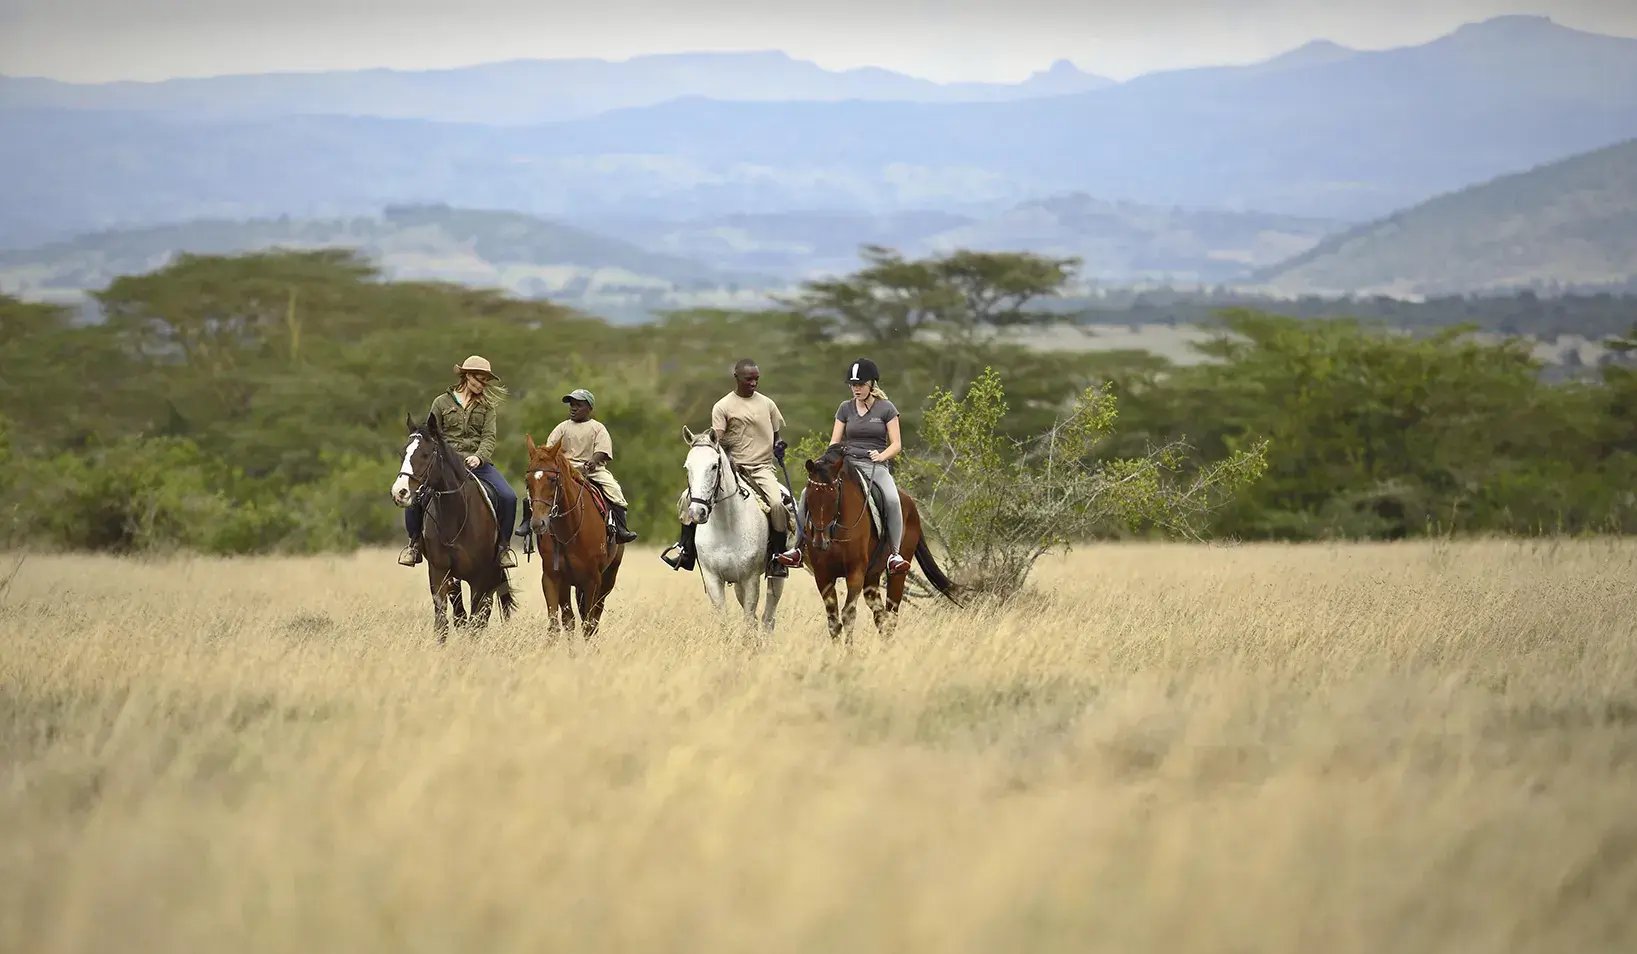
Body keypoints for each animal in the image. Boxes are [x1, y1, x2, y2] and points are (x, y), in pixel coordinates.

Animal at [387, 410, 510, 641]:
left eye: (426, 454)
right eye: (402, 454)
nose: (400, 493)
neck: (456, 516)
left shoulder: (480, 578)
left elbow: (476, 622)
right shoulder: (440, 573)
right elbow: (444, 621)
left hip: (491, 574)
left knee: (483, 614)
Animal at [523, 435, 625, 638]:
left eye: (552, 479)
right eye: (527, 480)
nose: (538, 523)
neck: (569, 532)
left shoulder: (593, 580)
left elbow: (588, 625)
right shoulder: (552, 578)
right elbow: (559, 624)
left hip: (608, 579)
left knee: (594, 618)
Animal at [674, 428, 782, 631]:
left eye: (714, 466)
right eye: (687, 467)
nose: (697, 512)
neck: (726, 526)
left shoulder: (750, 579)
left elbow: (749, 618)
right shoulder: (714, 579)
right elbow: (723, 620)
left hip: (775, 576)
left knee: (769, 614)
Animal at [795, 441, 956, 641]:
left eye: (834, 495)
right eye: (809, 496)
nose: (820, 541)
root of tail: (911, 504)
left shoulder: (855, 572)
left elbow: (848, 615)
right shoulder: (823, 575)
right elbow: (833, 621)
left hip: (896, 574)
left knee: (891, 615)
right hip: (871, 577)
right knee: (881, 615)